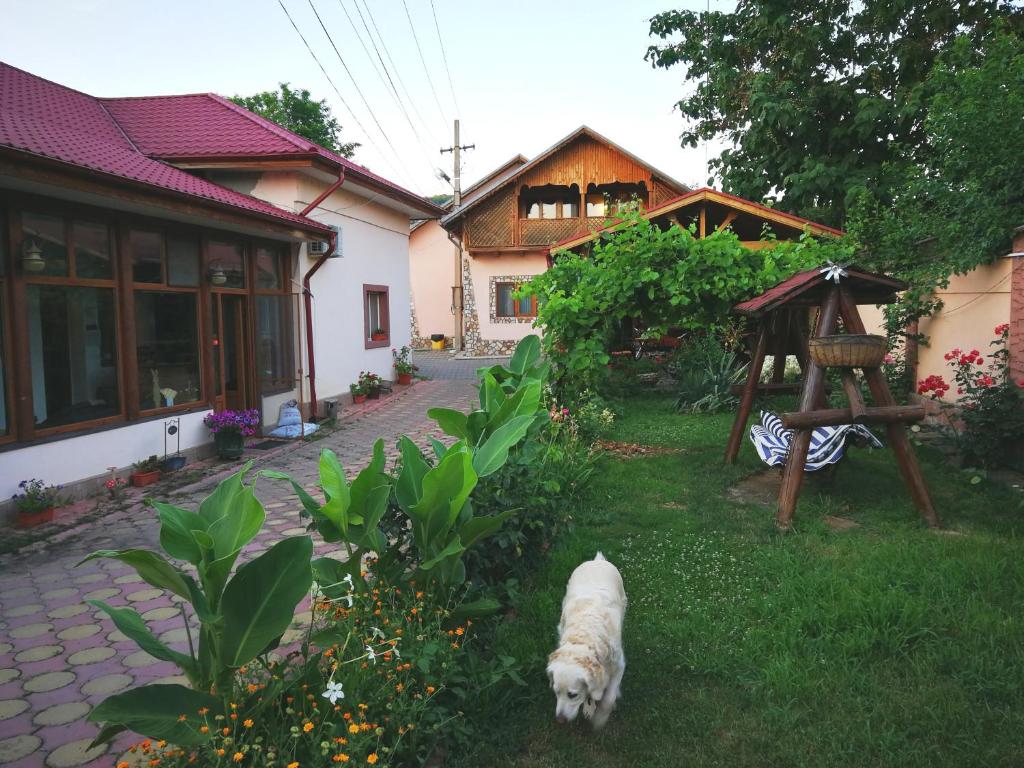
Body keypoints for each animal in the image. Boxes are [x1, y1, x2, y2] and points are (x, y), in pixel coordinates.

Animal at [548, 552, 626, 729]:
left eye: (572, 695)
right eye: (556, 692)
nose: (560, 720)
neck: (583, 640)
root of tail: (596, 561)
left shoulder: (619, 665)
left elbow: (608, 698)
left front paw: (599, 719)